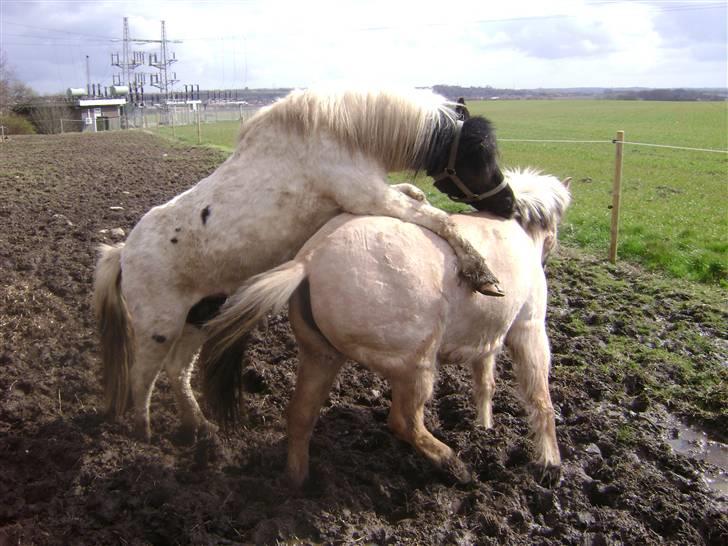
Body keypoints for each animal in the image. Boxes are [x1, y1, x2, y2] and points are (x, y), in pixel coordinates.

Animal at [93, 88, 514, 442]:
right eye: (477, 154)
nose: (508, 205)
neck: (343, 135)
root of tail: (123, 253)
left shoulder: (373, 195)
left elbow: (416, 197)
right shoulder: (371, 198)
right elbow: (438, 219)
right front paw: (482, 274)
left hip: (201, 314)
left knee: (178, 371)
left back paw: (200, 427)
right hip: (158, 330)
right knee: (143, 378)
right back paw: (145, 433)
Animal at [200, 168, 572, 487]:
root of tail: (310, 260)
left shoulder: (487, 339)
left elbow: (485, 383)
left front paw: (484, 426)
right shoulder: (529, 329)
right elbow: (540, 397)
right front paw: (550, 462)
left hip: (321, 356)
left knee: (301, 416)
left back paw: (298, 484)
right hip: (416, 366)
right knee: (404, 423)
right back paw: (453, 465)